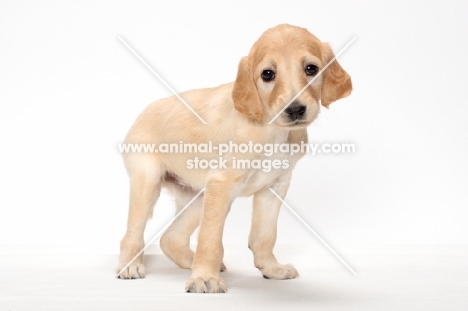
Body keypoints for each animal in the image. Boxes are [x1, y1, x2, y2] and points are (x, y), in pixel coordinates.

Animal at [117, 23, 352, 294]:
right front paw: (204, 278)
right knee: (132, 234)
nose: (295, 110)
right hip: (148, 184)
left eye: (311, 69)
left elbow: (265, 235)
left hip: (197, 197)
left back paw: (191, 261)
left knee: (170, 238)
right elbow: (210, 239)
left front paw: (271, 269)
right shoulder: (222, 183)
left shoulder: (274, 187)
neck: (271, 129)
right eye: (268, 74)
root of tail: (145, 110)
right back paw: (130, 266)